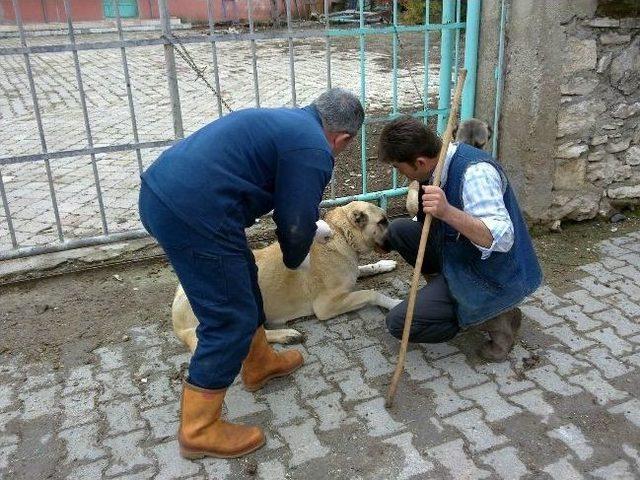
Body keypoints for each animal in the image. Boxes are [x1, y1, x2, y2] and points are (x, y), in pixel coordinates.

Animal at [171, 201, 400, 350]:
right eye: (382, 221)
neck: (342, 234)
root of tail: (177, 321)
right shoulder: (326, 305)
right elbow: (371, 293)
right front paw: (394, 303)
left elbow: (365, 268)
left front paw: (384, 265)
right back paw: (286, 335)